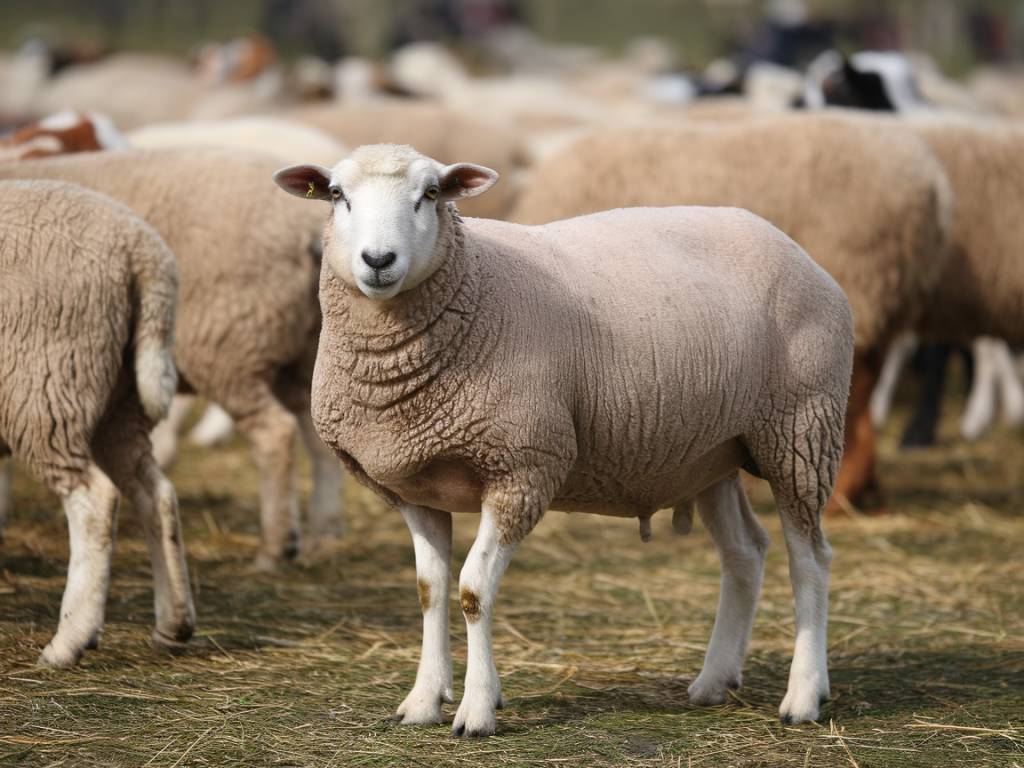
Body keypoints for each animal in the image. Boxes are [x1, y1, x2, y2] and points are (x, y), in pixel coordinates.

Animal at [0, 150, 346, 569]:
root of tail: (306, 229)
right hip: (303, 349)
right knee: (317, 434)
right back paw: (322, 537)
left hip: (225, 343)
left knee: (274, 432)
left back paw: (274, 549)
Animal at [0, 180, 193, 667]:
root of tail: (142, 254)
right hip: (118, 400)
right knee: (155, 493)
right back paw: (174, 623)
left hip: (44, 385)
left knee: (94, 501)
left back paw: (69, 640)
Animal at [274, 145, 856, 741]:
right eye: (338, 195)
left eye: (431, 194)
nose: (379, 259)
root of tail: (793, 248)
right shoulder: (415, 485)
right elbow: (429, 590)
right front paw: (422, 701)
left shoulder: (523, 468)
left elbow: (473, 590)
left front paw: (476, 710)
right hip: (712, 450)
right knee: (744, 553)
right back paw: (714, 680)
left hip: (802, 429)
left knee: (809, 558)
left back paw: (804, 695)